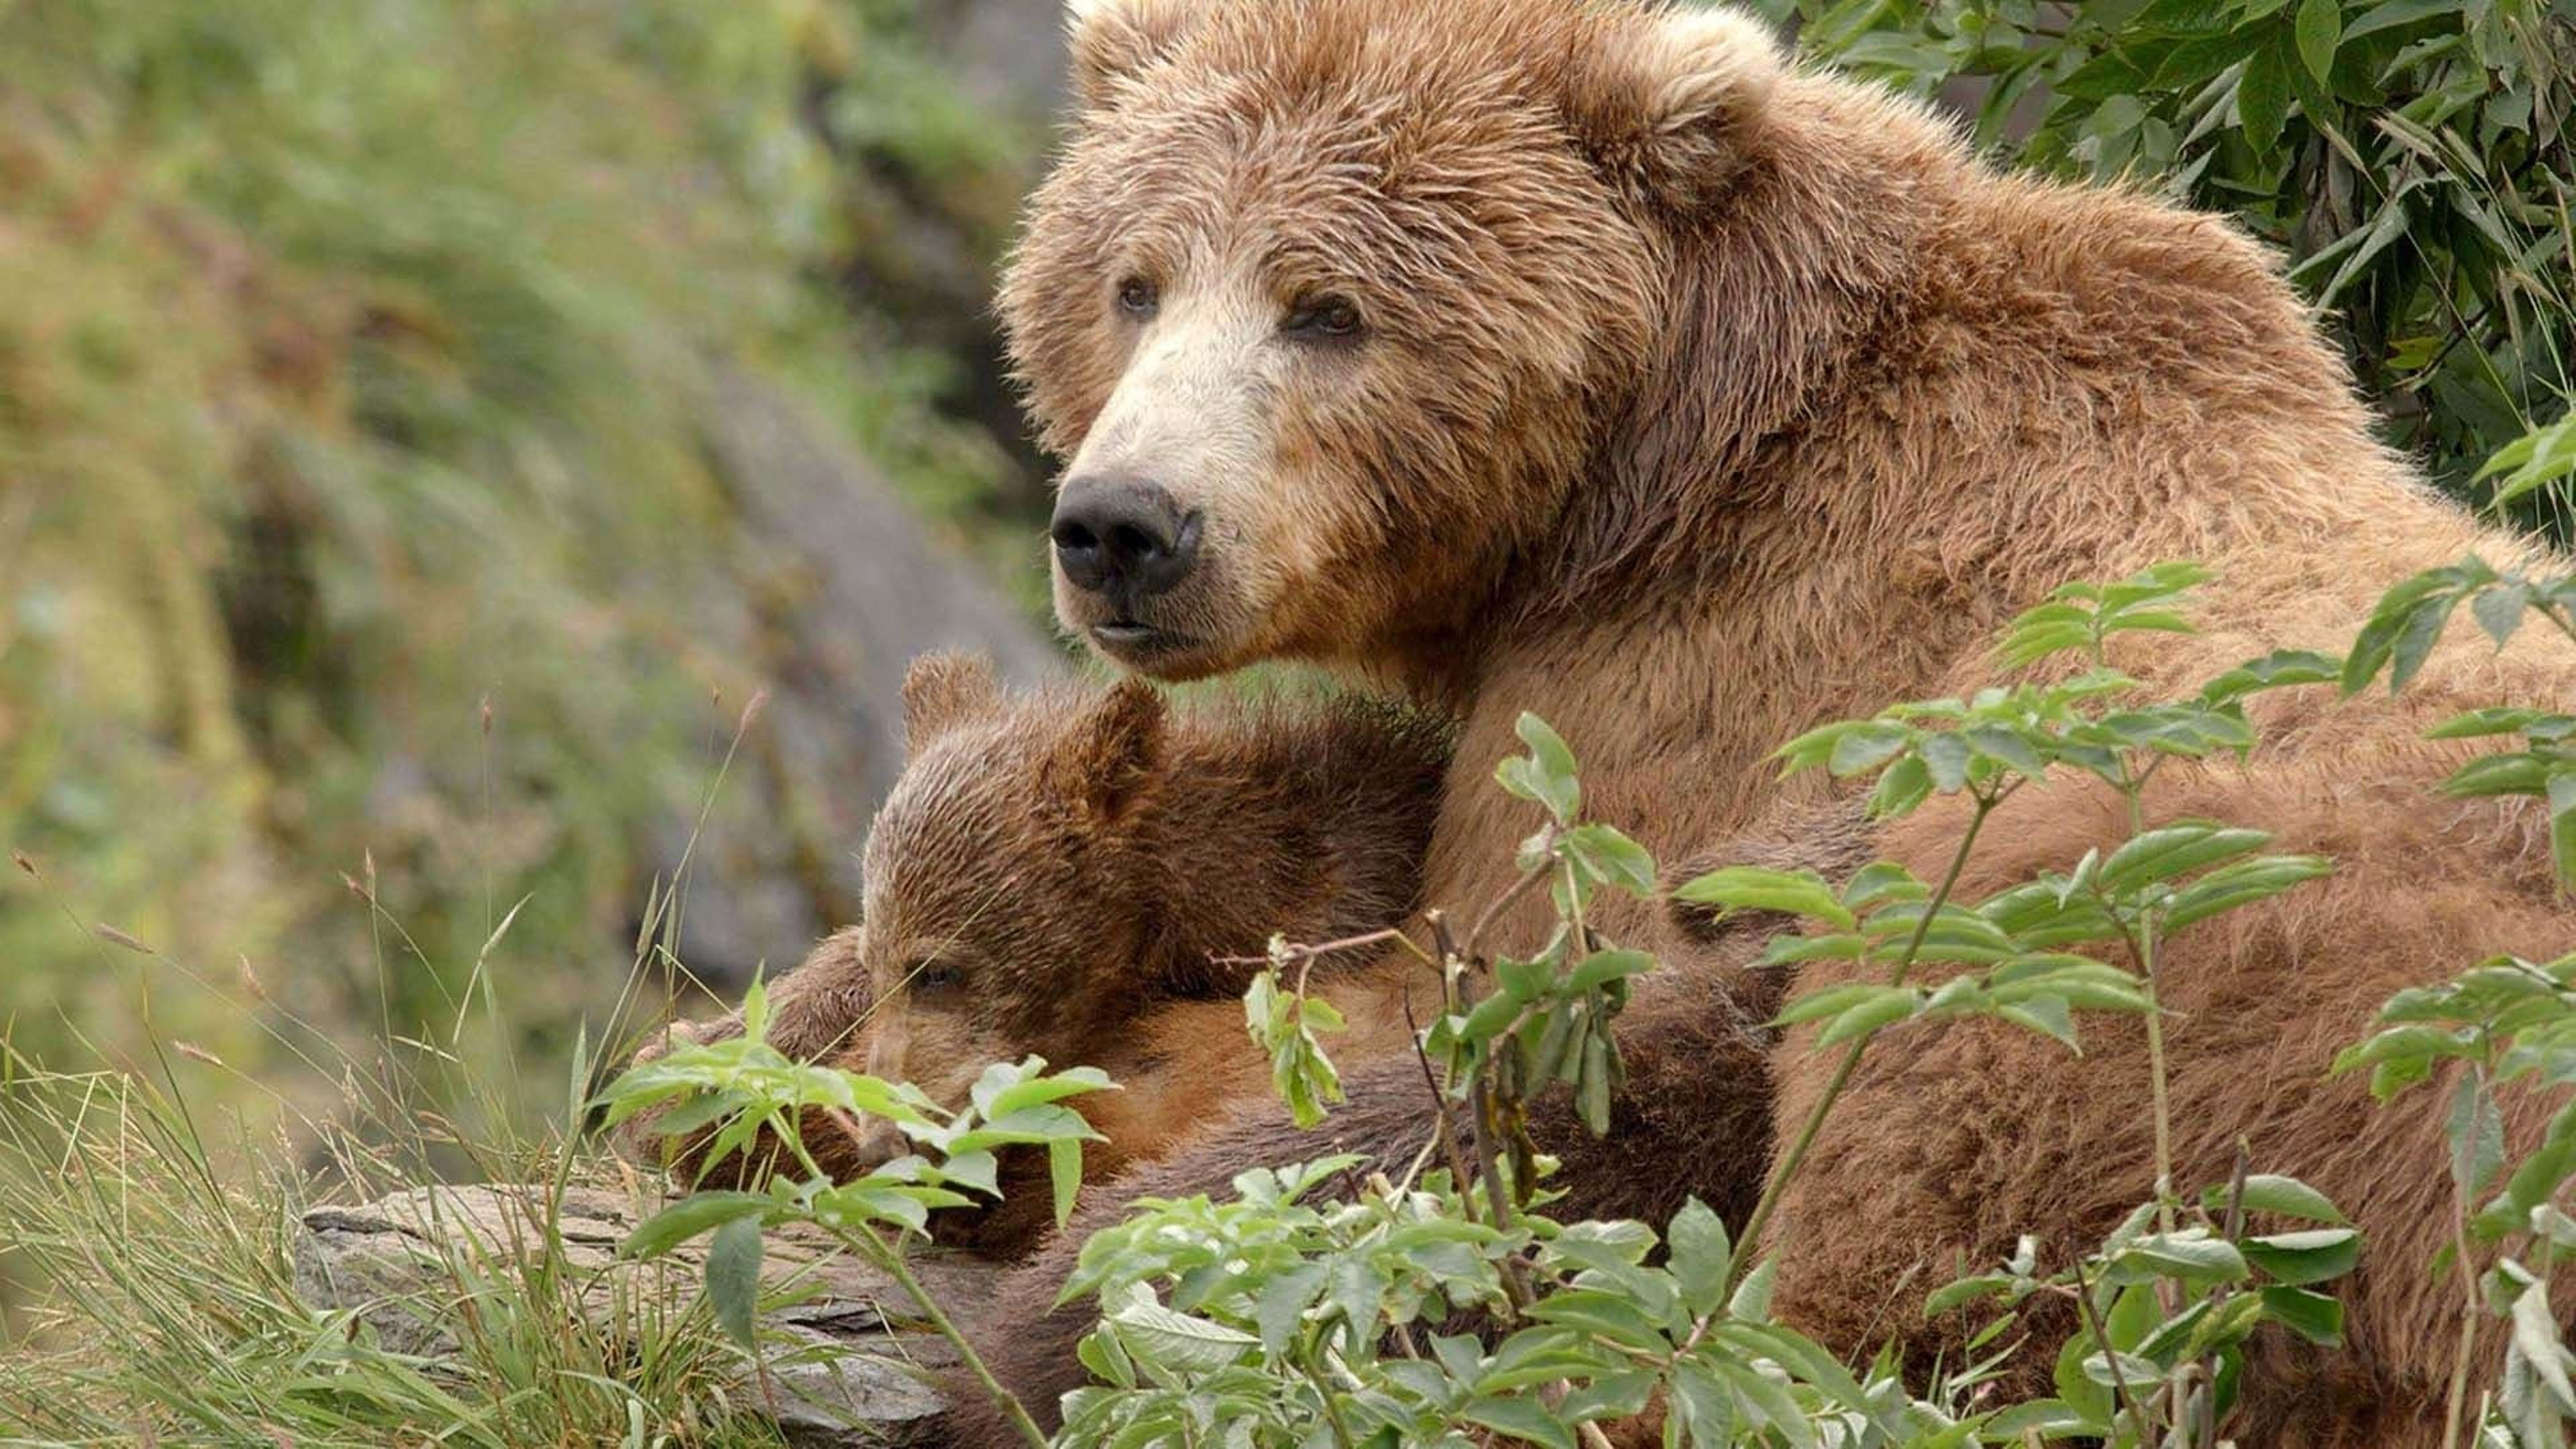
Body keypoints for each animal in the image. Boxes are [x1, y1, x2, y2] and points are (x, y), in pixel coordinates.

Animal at [963, 0, 2576, 1423]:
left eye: (1327, 309)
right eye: (1133, 281)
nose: (1124, 526)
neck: (1665, 462)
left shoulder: (1684, 699)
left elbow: (1446, 1011)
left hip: (2144, 953)